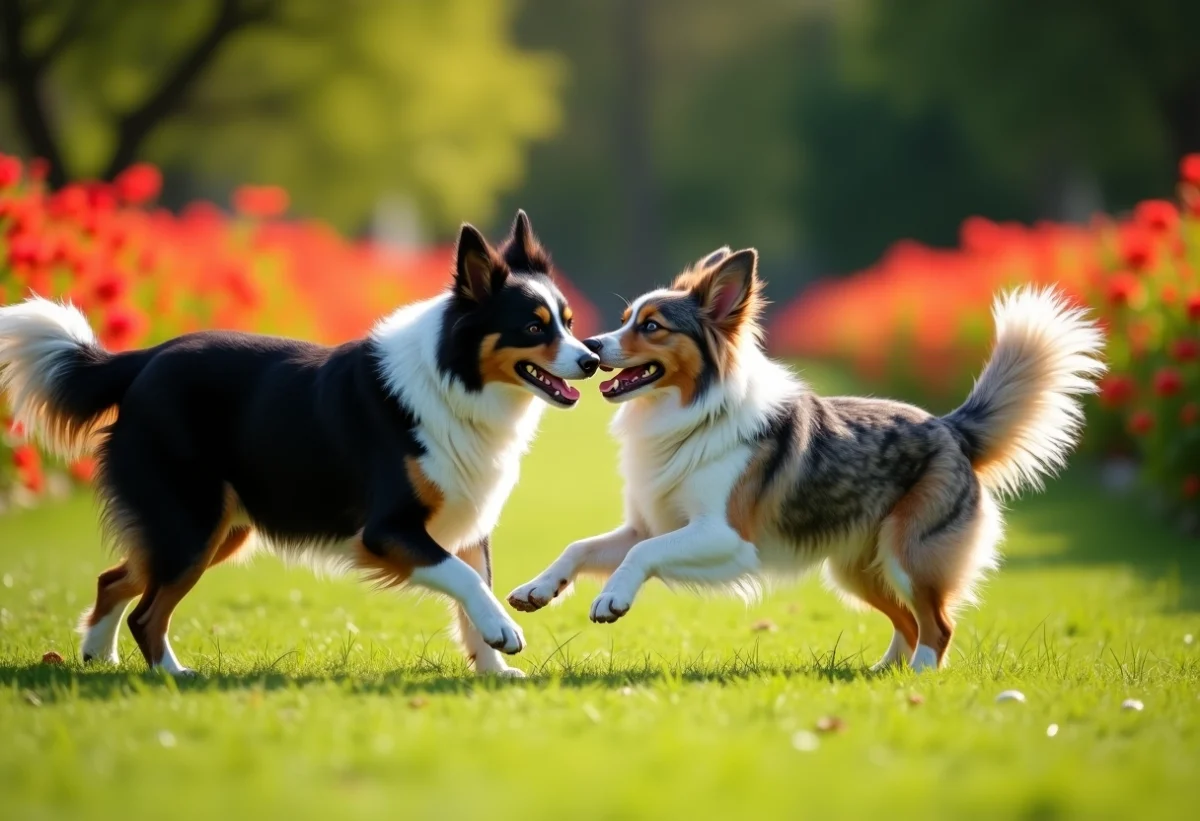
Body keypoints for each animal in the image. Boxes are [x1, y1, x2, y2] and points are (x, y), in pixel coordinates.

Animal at [0, 208, 600, 676]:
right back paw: (173, 675)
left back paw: (99, 657)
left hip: (217, 529)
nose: (592, 359)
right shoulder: (388, 530)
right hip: (192, 523)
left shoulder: (469, 521)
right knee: (148, 611)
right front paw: (505, 634)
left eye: (568, 322)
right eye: (534, 327)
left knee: (115, 580)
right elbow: (468, 582)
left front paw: (494, 669)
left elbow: (476, 590)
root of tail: (144, 360)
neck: (456, 379)